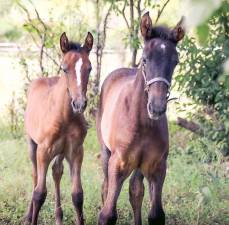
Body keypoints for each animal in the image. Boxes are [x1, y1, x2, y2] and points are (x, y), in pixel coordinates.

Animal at [23, 31, 93, 225]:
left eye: (90, 68)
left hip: (61, 152)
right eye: (64, 68)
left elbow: (78, 195)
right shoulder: (43, 150)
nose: (79, 104)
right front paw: (32, 218)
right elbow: (39, 193)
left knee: (56, 172)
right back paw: (28, 214)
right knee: (34, 176)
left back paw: (58, 217)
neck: (64, 117)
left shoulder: (76, 151)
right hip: (32, 144)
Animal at [95, 12, 185, 225]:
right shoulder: (117, 164)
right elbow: (107, 214)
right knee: (105, 188)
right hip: (105, 152)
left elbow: (155, 214)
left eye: (175, 61)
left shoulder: (157, 167)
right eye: (145, 59)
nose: (157, 107)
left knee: (136, 190)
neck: (142, 123)